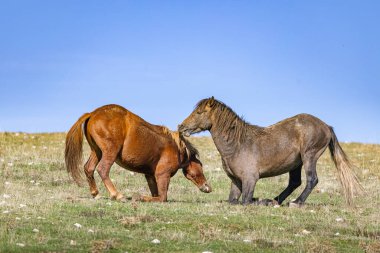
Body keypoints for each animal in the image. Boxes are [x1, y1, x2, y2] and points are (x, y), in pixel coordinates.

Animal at [66, 104, 212, 202]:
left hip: (97, 151)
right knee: (103, 169)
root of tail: (92, 113)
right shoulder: (162, 175)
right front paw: (140, 197)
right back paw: (117, 195)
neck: (177, 149)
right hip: (109, 152)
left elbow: (156, 194)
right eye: (200, 167)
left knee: (89, 168)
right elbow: (161, 198)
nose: (207, 187)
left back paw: (96, 193)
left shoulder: (150, 176)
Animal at [178, 97, 362, 206]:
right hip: (296, 163)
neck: (237, 145)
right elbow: (232, 200)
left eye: (199, 112)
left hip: (309, 157)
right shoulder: (236, 181)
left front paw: (258, 200)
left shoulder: (250, 179)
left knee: (312, 180)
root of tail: (326, 126)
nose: (181, 127)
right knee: (295, 182)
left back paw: (295, 202)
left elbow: (245, 201)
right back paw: (275, 201)